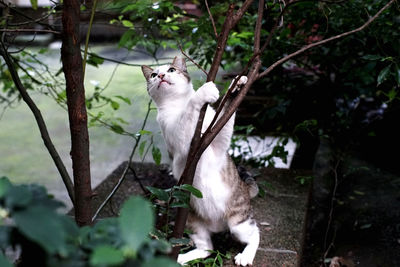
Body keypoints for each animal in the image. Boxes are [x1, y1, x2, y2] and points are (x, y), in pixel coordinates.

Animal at [141, 56, 260, 266]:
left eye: (171, 70)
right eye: (154, 74)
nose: (161, 76)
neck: (178, 104)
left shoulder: (218, 140)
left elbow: (226, 113)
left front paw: (236, 85)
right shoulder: (178, 140)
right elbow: (188, 113)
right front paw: (203, 92)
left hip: (238, 221)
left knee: (255, 234)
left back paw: (245, 255)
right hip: (193, 222)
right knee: (207, 249)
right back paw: (180, 258)